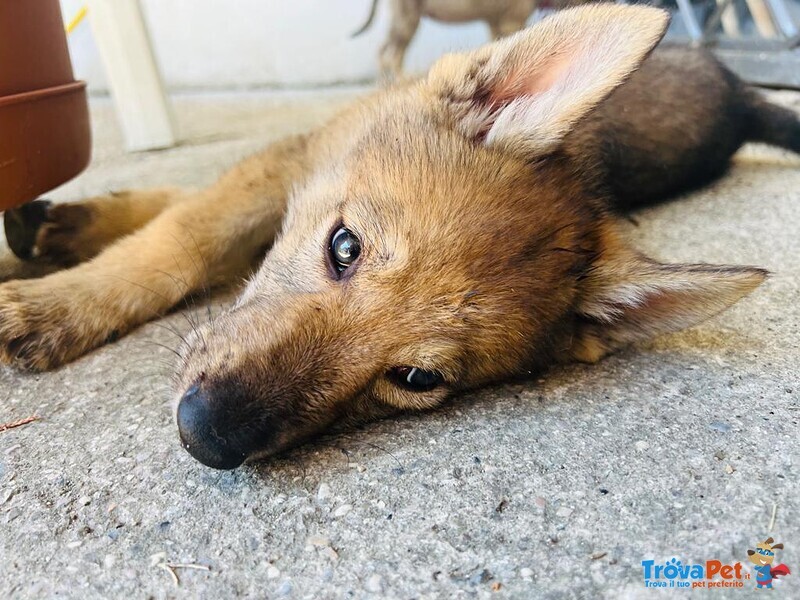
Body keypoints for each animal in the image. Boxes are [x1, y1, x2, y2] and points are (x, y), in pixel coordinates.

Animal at [1, 7, 800, 472]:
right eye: (344, 247)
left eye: (415, 379)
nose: (205, 436)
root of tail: (740, 92)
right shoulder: (292, 158)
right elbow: (182, 232)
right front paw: (59, 293)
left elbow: (185, 224)